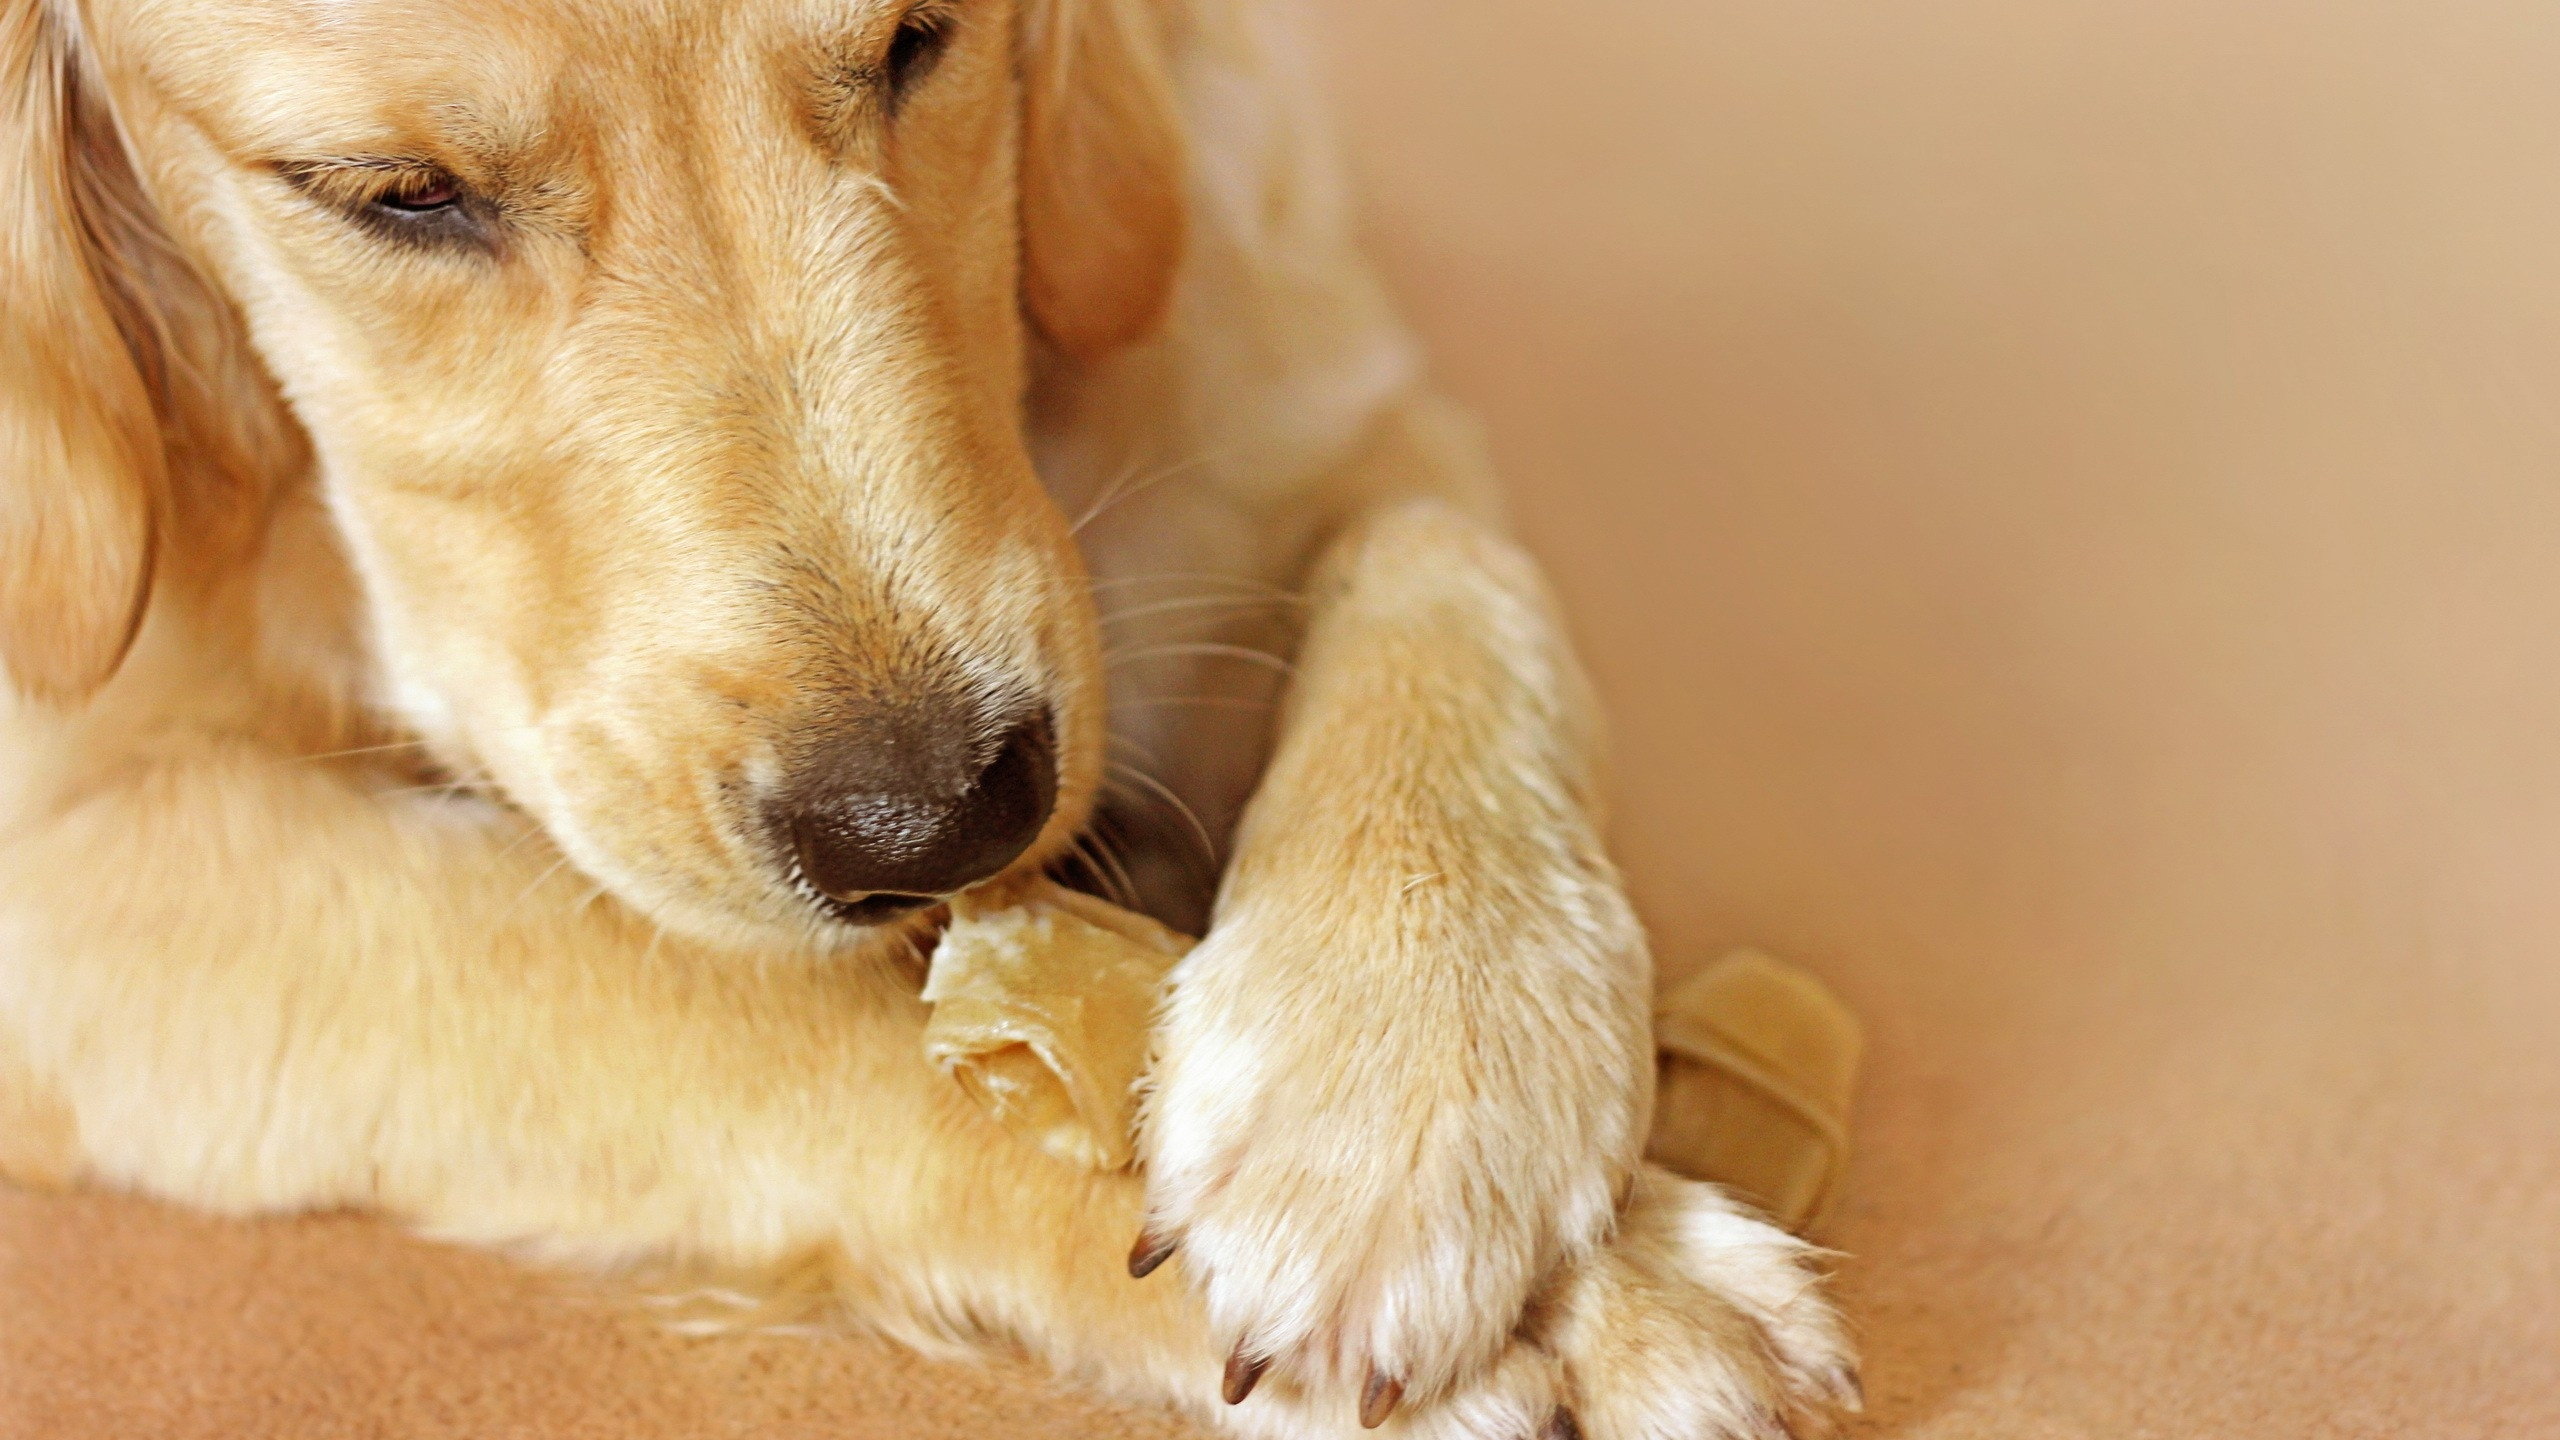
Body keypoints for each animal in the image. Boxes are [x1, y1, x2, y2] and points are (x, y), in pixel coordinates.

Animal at [0, 0, 1843, 1424]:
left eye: (916, 42)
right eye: (393, 196)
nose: (942, 815)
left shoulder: (1281, 340)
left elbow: (1441, 551)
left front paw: (1409, 1062)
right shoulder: (71, 869)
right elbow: (679, 987)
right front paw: (1605, 1303)